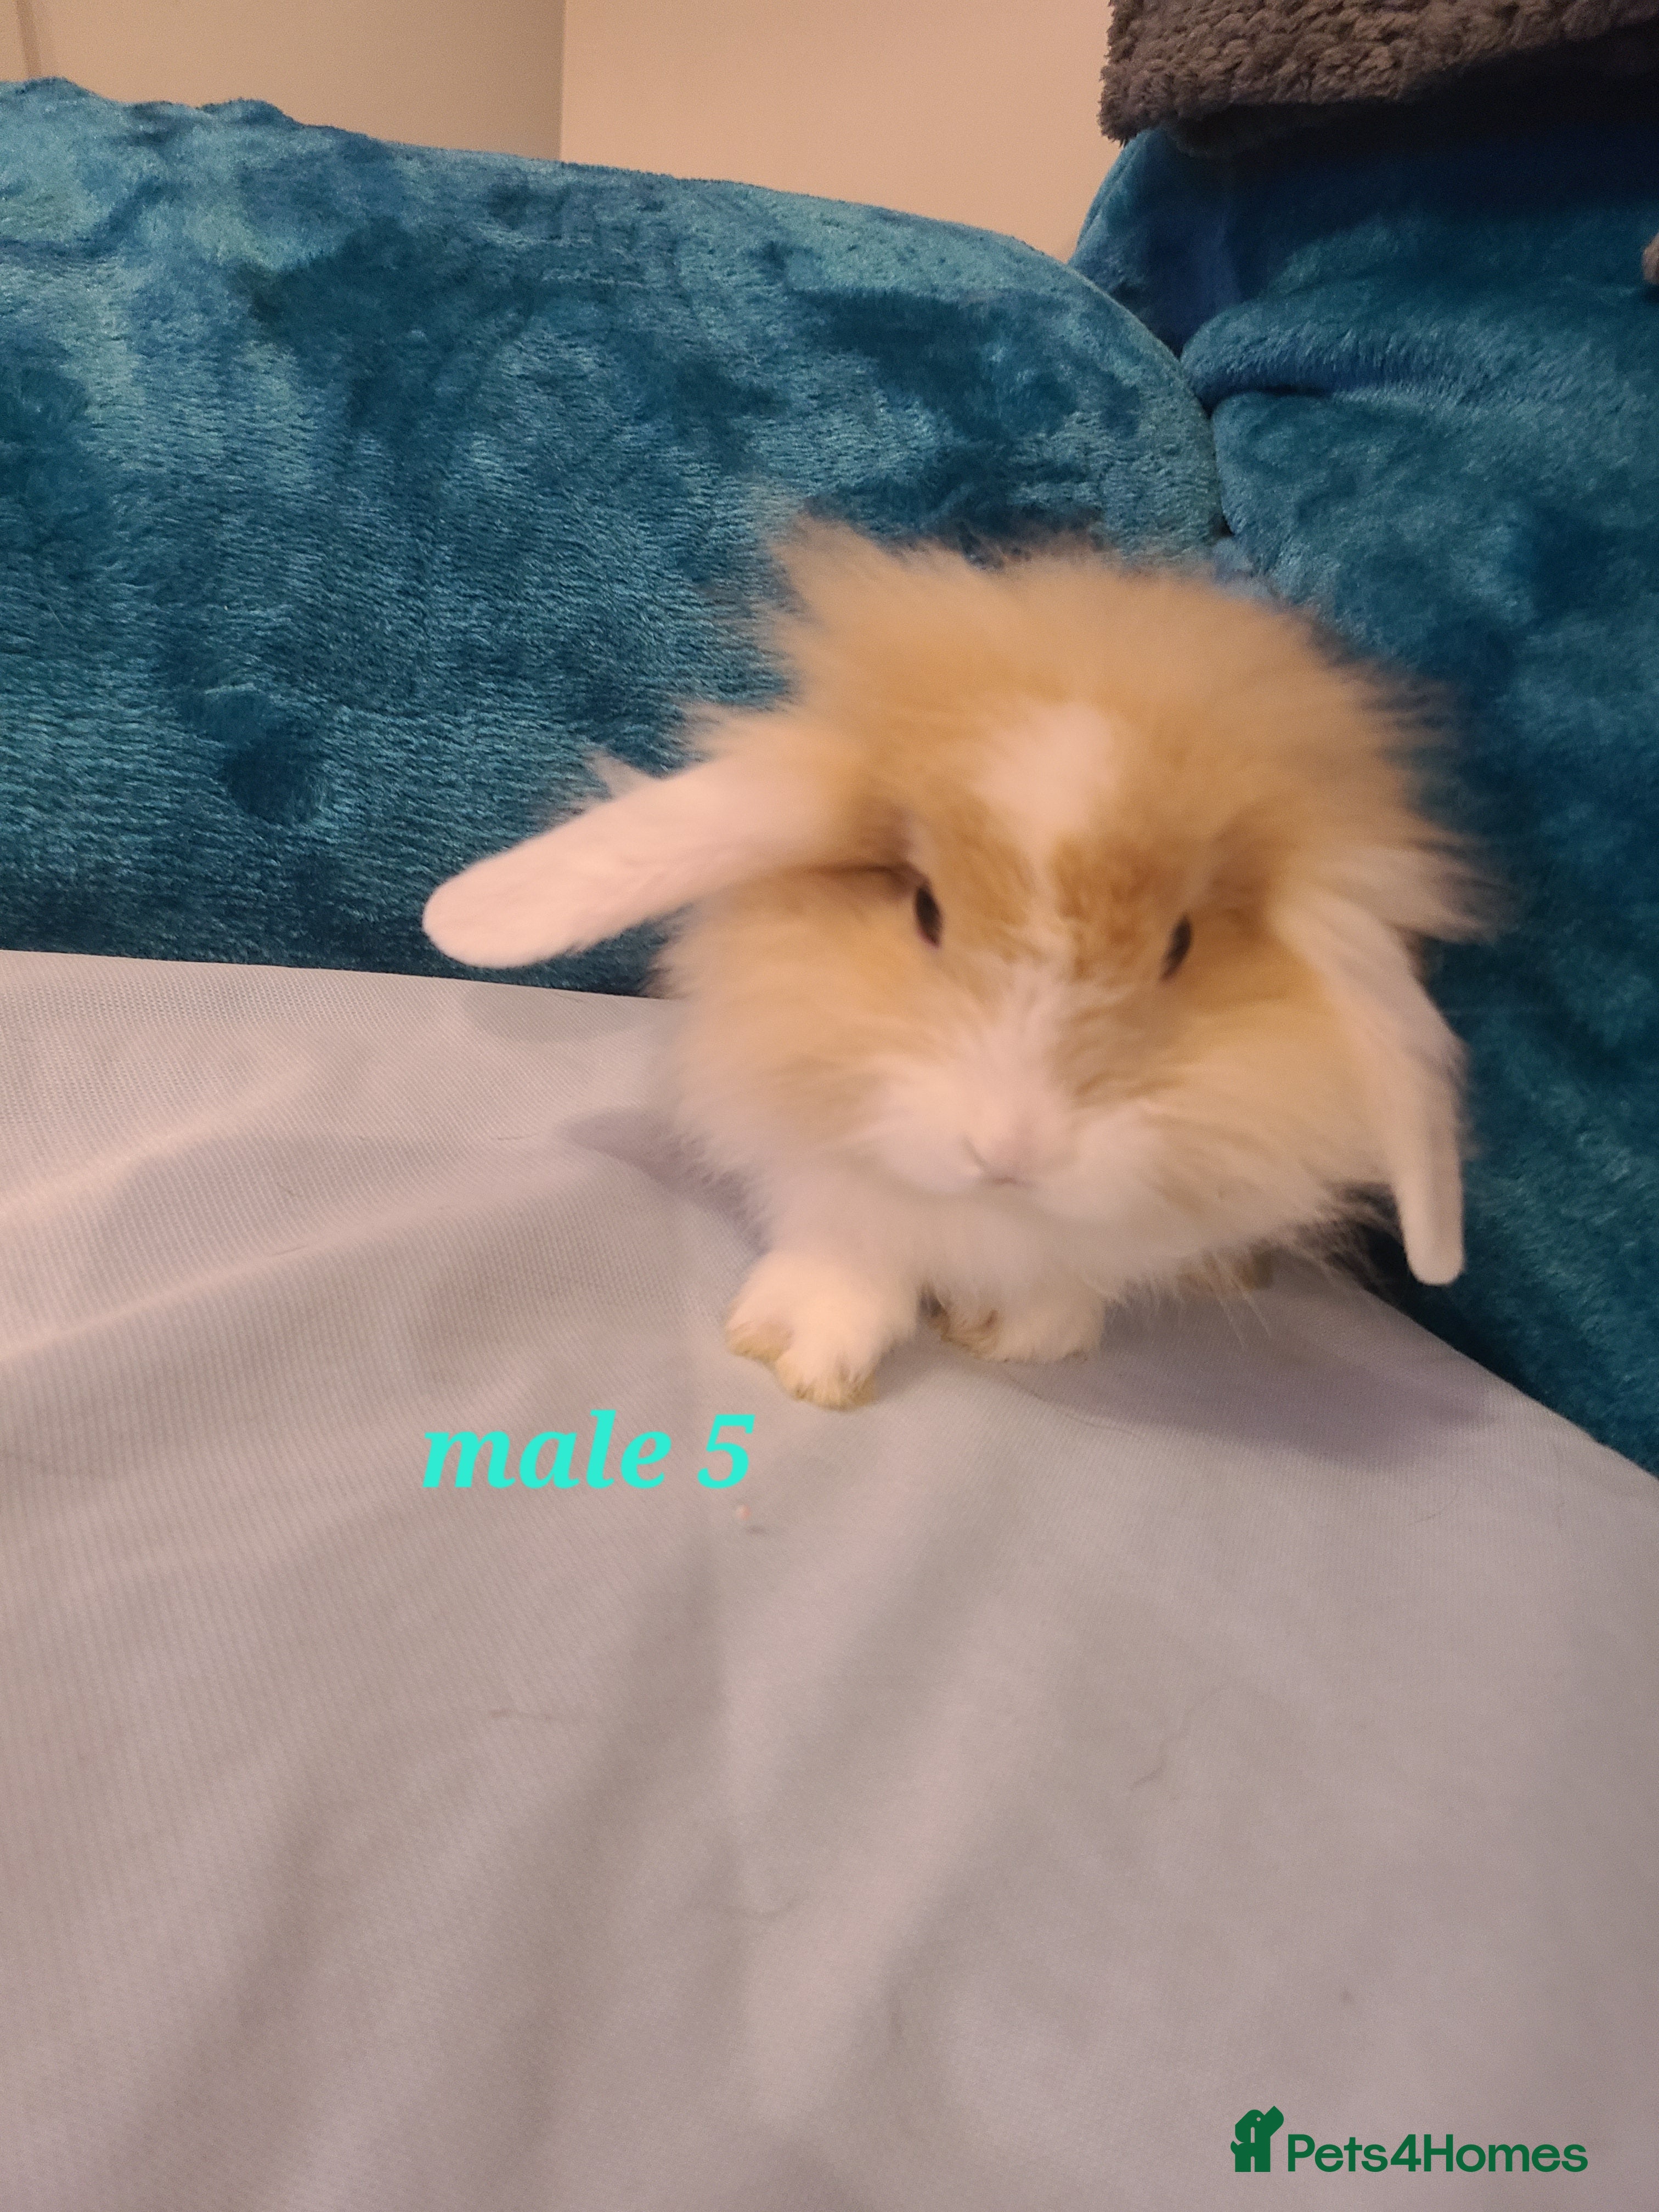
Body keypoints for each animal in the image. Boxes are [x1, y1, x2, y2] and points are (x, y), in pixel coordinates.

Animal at [424, 523, 1493, 1409]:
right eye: (926, 911)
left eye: (1180, 947)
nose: (1011, 1153)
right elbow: (850, 1253)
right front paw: (796, 1354)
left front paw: (1021, 1338)